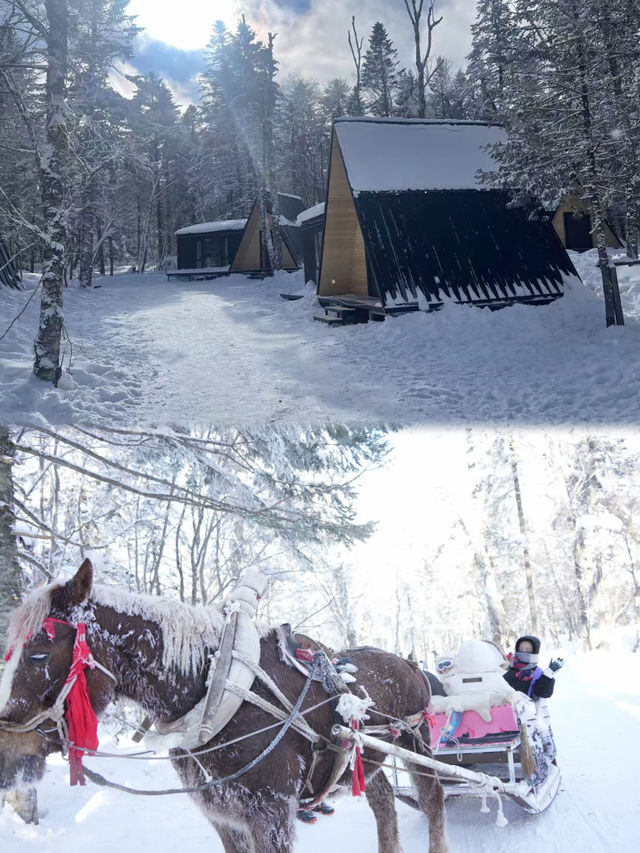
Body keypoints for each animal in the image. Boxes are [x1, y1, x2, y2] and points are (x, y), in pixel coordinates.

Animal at [0, 560, 450, 852]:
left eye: (38, 653)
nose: (7, 752)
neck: (216, 692)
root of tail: (408, 662)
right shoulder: (223, 817)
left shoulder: (271, 815)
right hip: (365, 757)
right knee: (384, 803)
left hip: (415, 744)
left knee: (433, 800)